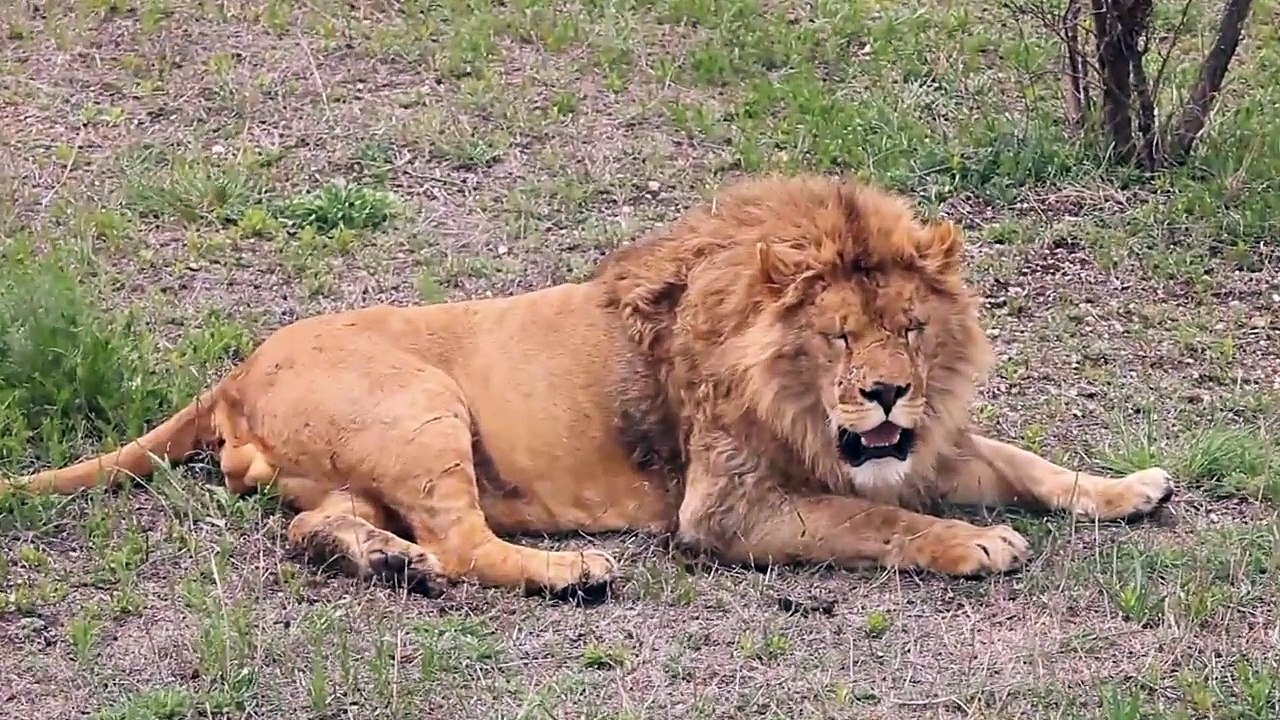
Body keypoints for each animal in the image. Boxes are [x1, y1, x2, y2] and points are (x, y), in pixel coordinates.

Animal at [3, 174, 1174, 601]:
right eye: (839, 336)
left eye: (912, 330)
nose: (886, 395)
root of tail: (235, 368)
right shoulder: (726, 509)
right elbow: (877, 521)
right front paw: (972, 544)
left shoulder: (912, 446)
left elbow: (1019, 459)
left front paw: (1126, 489)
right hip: (423, 411)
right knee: (466, 546)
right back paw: (567, 573)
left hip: (345, 468)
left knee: (314, 529)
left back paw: (382, 562)